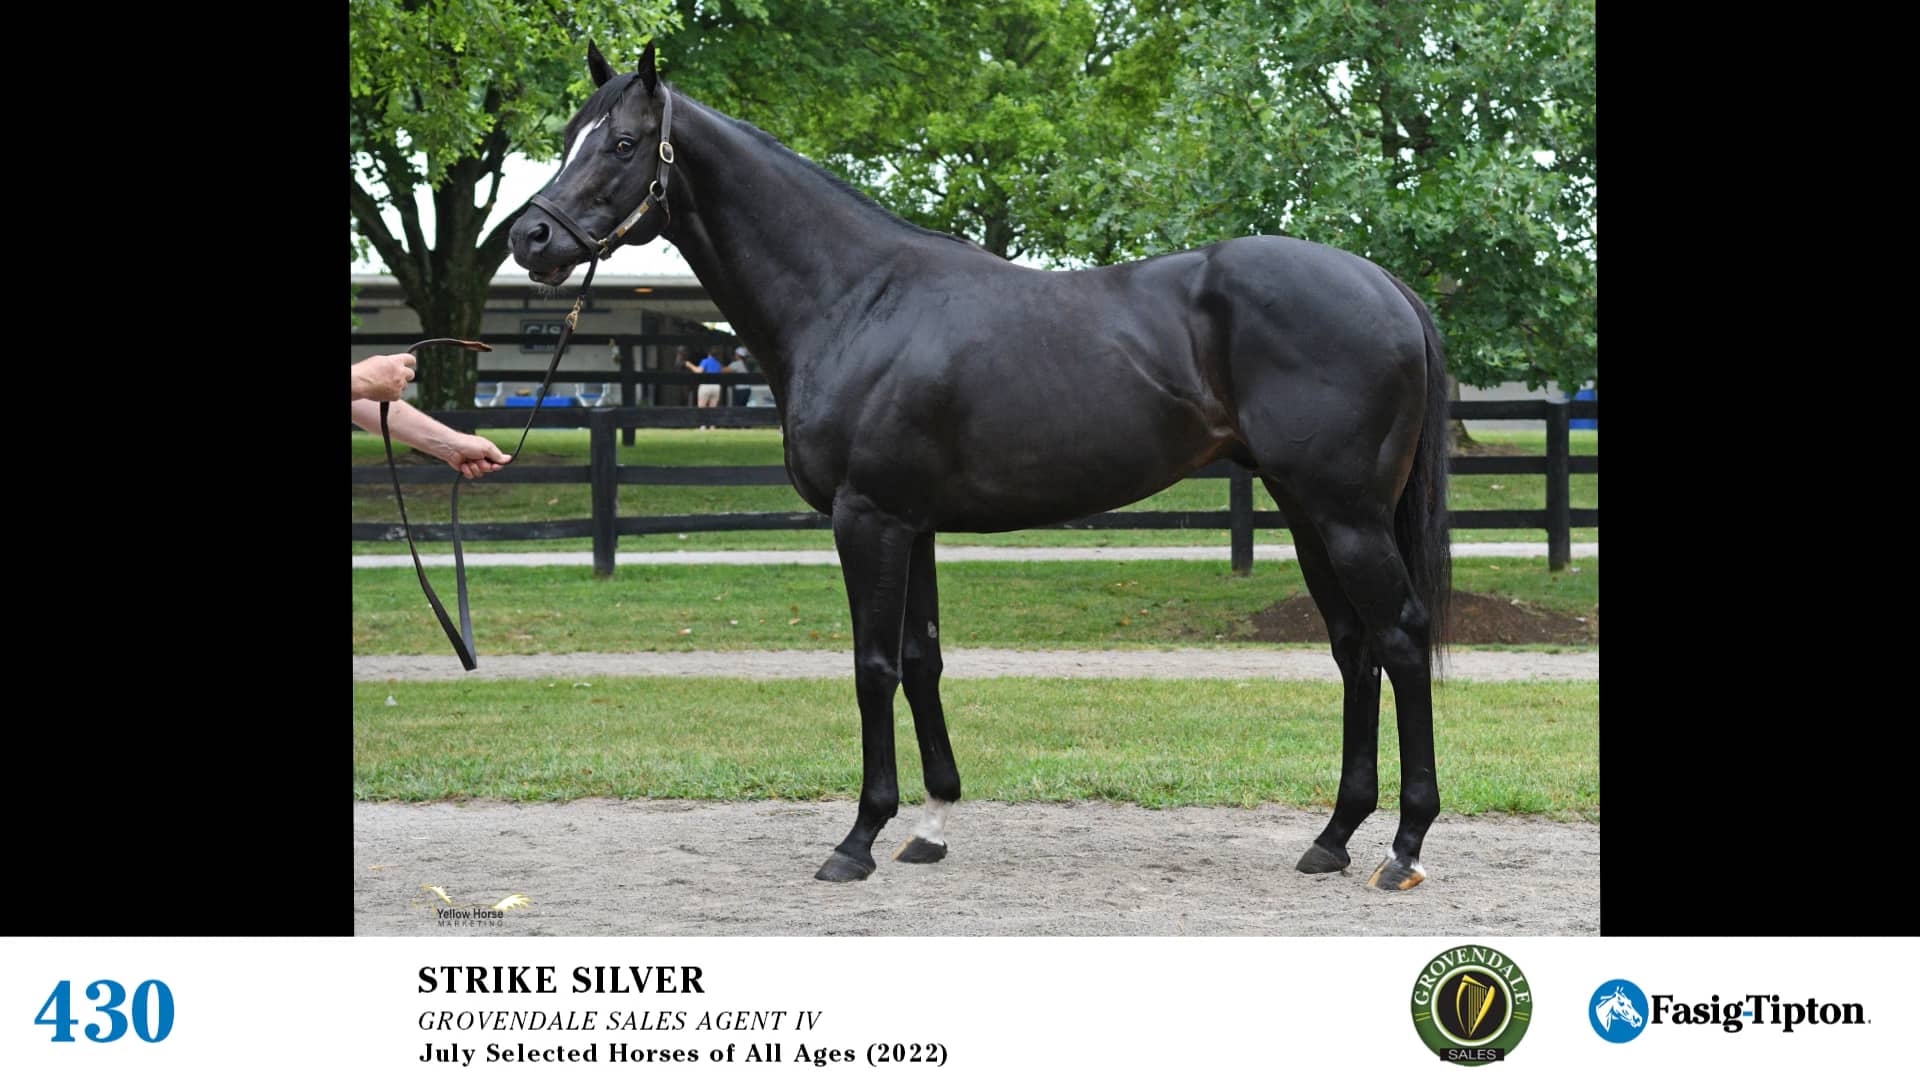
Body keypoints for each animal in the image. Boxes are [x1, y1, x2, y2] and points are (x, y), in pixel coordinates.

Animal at [510, 43, 1453, 891]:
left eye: (622, 143)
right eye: (567, 135)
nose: (530, 236)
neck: (856, 299)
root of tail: (1386, 286)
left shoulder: (868, 517)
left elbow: (874, 667)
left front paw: (857, 840)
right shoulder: (913, 522)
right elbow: (922, 660)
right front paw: (929, 826)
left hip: (1345, 515)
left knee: (1401, 639)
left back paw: (1403, 848)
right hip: (1304, 509)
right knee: (1353, 649)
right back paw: (1332, 837)